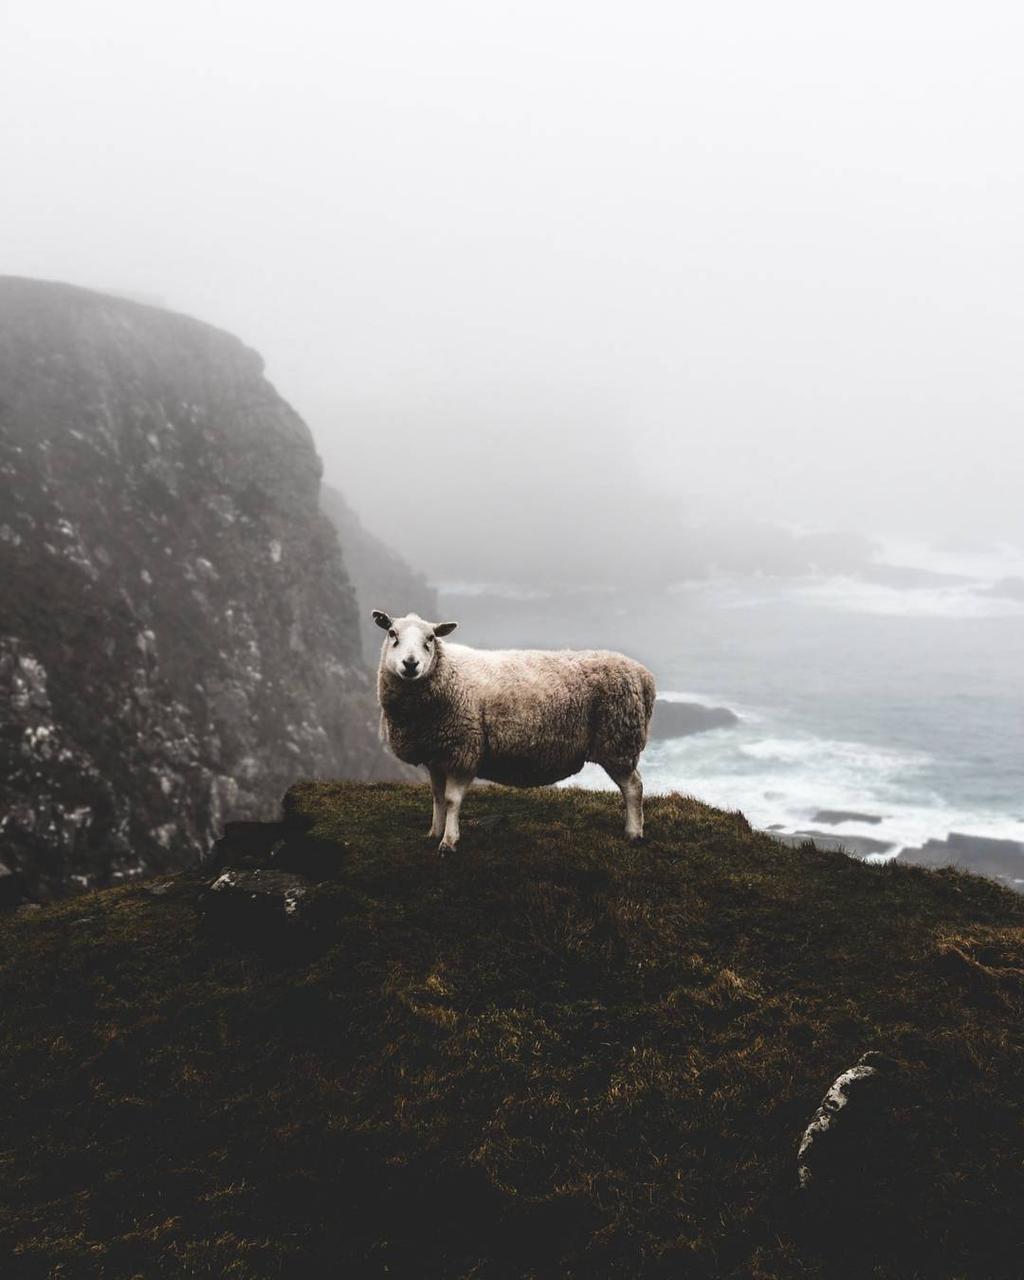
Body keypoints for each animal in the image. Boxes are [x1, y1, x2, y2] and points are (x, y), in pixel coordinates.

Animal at [372, 610, 656, 854]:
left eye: (430, 638)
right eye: (392, 634)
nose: (411, 664)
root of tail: (644, 676)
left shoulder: (463, 751)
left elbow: (452, 800)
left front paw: (449, 842)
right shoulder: (436, 754)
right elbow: (437, 797)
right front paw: (434, 832)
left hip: (618, 741)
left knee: (634, 787)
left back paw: (633, 832)